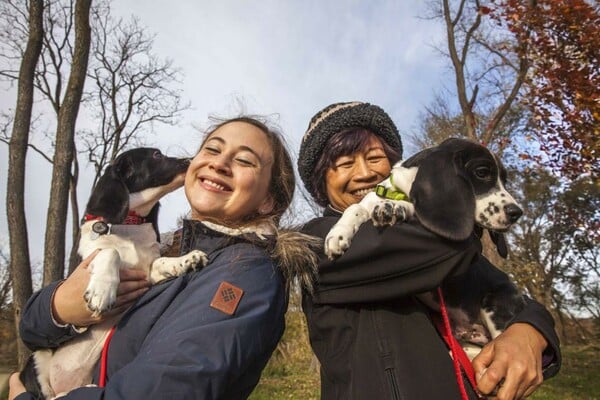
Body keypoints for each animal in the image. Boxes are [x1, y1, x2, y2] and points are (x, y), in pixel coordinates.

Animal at [21, 148, 207, 400]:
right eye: (156, 155)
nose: (190, 160)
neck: (131, 225)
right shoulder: (89, 258)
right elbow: (110, 251)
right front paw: (102, 292)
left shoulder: (146, 274)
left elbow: (161, 261)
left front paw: (187, 260)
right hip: (37, 360)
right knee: (48, 396)